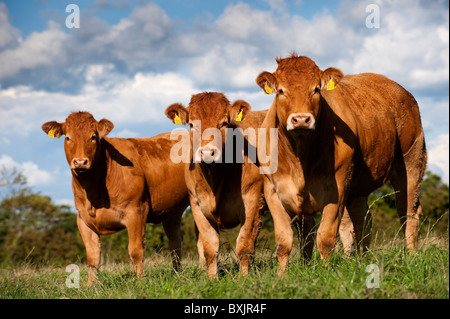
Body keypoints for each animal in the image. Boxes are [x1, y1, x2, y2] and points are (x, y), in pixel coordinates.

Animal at [41, 112, 188, 284]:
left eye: (93, 137)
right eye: (68, 138)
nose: (80, 162)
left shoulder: (136, 211)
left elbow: (136, 251)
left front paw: (141, 281)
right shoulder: (82, 220)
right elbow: (92, 256)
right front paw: (90, 285)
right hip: (171, 211)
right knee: (175, 242)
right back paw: (177, 274)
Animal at [166, 92, 270, 278]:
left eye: (223, 123)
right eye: (191, 124)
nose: (207, 153)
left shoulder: (253, 200)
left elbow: (244, 244)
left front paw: (244, 277)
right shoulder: (197, 205)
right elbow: (210, 247)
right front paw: (212, 278)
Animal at [256, 53, 426, 272]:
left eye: (316, 89)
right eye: (281, 91)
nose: (301, 119)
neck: (299, 156)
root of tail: (401, 90)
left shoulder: (337, 187)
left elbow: (325, 237)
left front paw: (325, 272)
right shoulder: (273, 191)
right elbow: (285, 241)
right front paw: (282, 275)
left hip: (411, 161)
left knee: (408, 212)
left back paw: (411, 257)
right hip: (359, 185)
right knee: (363, 219)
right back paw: (362, 258)